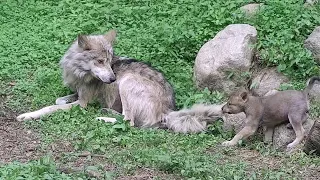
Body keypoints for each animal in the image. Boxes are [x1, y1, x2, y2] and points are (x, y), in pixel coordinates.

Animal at [16, 29, 224, 133]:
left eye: (109, 61)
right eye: (100, 61)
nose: (112, 78)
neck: (78, 71)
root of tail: (169, 111)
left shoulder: (82, 103)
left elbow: (50, 107)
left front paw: (28, 115)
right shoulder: (78, 93)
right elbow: (58, 100)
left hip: (127, 82)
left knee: (129, 122)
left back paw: (102, 116)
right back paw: (106, 111)